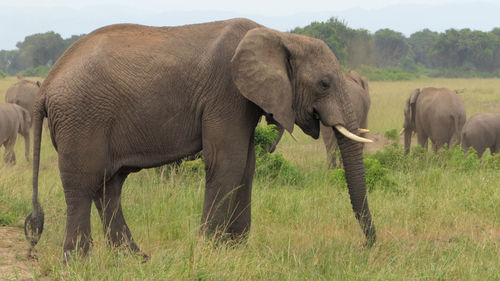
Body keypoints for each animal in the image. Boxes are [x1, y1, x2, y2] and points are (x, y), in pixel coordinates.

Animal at [24, 17, 376, 260]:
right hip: (81, 117)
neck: (279, 36)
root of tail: (46, 85)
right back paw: (79, 262)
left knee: (108, 185)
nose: (365, 247)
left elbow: (246, 165)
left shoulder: (242, 100)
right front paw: (211, 248)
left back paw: (135, 259)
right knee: (84, 184)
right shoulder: (227, 92)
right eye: (324, 83)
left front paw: (235, 248)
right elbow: (228, 161)